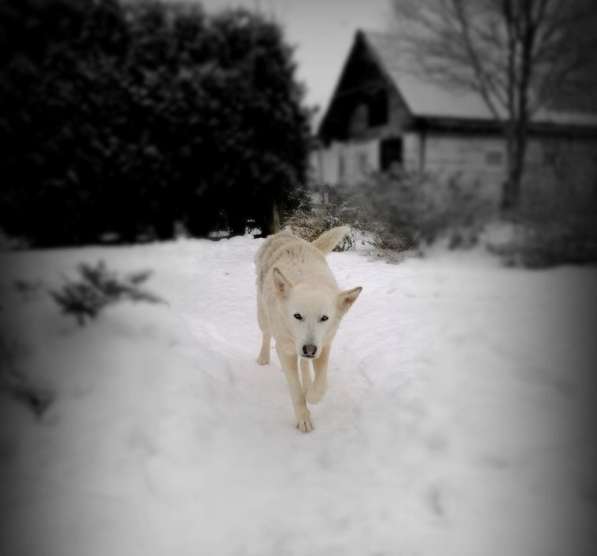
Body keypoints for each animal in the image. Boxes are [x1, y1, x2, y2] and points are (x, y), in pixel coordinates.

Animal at [254, 225, 360, 430]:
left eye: (324, 318)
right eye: (297, 316)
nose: (309, 349)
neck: (309, 279)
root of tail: (284, 234)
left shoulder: (324, 345)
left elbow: (321, 382)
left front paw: (312, 395)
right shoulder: (286, 350)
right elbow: (295, 391)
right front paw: (303, 417)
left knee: (304, 363)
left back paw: (307, 382)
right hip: (262, 315)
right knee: (266, 334)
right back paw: (263, 357)